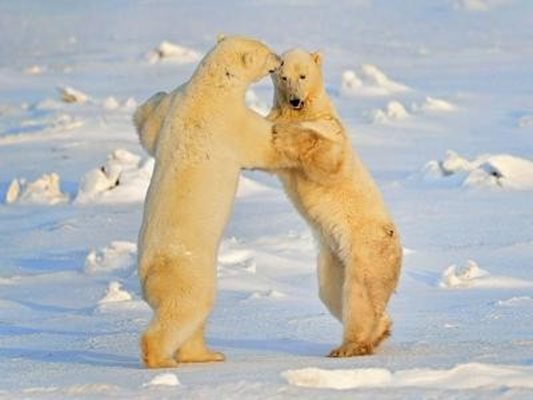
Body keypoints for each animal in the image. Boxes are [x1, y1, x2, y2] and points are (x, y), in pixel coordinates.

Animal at [135, 36, 288, 368]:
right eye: (266, 52)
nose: (281, 60)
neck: (209, 87)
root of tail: (147, 278)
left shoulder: (175, 105)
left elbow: (151, 129)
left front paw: (151, 98)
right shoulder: (229, 120)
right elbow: (262, 145)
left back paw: (207, 354)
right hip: (189, 272)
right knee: (186, 309)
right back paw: (161, 358)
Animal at [268, 48, 402, 358]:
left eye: (303, 75)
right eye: (283, 77)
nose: (295, 100)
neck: (309, 109)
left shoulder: (331, 128)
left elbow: (329, 157)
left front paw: (283, 131)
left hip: (365, 249)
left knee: (359, 293)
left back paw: (350, 345)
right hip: (333, 258)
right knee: (331, 292)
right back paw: (380, 331)